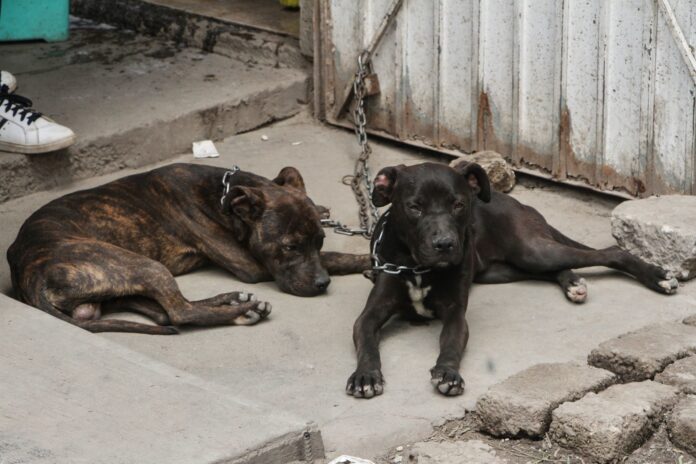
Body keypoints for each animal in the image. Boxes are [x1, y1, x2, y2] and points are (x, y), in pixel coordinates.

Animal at [346, 161, 676, 396]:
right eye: (414, 207)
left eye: (458, 205)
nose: (445, 244)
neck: (417, 268)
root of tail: (516, 203)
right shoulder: (370, 314)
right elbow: (367, 342)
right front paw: (366, 376)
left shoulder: (455, 314)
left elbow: (451, 343)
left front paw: (448, 373)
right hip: (503, 269)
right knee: (554, 269)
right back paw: (572, 283)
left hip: (530, 250)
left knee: (608, 251)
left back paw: (656, 276)